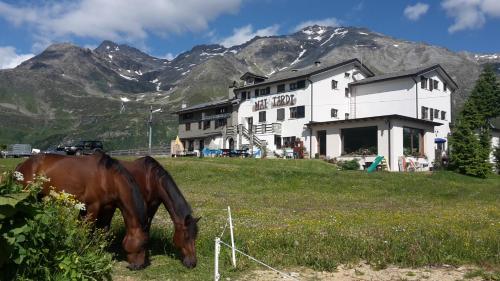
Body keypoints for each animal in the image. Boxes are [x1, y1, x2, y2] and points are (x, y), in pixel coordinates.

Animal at [15, 153, 148, 270]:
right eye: (142, 244)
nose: (139, 266)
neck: (108, 177)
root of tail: (21, 165)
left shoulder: (107, 208)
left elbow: (102, 232)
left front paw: (99, 252)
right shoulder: (92, 207)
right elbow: (87, 231)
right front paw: (84, 251)